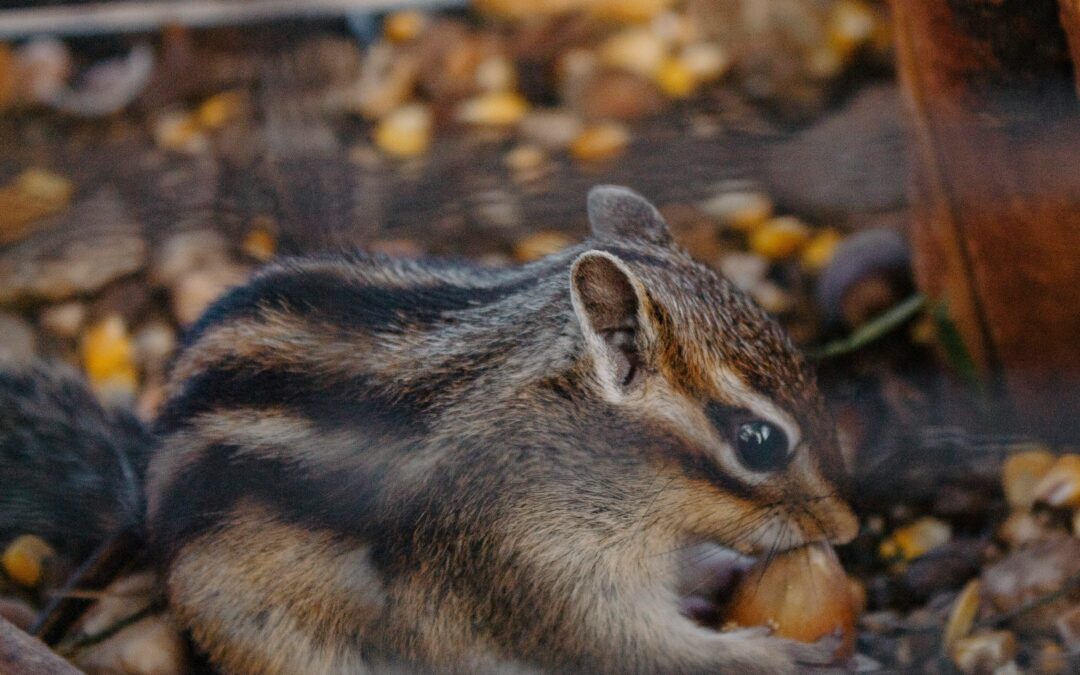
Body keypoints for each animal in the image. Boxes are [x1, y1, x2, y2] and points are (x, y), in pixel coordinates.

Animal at [1, 186, 857, 674]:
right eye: (758, 442)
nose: (847, 526)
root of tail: (141, 493)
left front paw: (720, 568)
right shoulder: (527, 566)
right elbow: (632, 649)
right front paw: (778, 652)